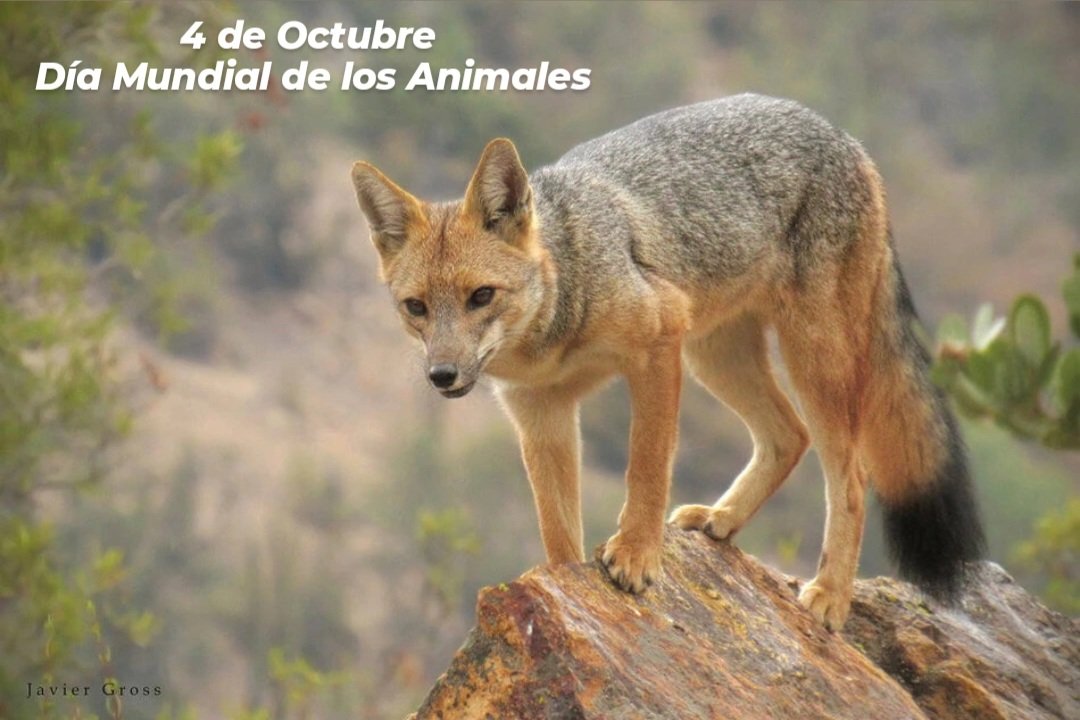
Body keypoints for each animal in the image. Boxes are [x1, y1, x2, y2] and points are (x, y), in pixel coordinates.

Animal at [350, 93, 985, 630]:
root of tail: (843, 136)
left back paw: (830, 595)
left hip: (809, 357)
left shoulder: (657, 347)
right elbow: (557, 531)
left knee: (850, 476)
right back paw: (721, 520)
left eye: (481, 296)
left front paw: (635, 555)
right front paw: (567, 591)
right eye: (416, 308)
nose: (443, 376)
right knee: (788, 436)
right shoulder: (541, 414)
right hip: (718, 357)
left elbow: (647, 464)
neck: (553, 328)